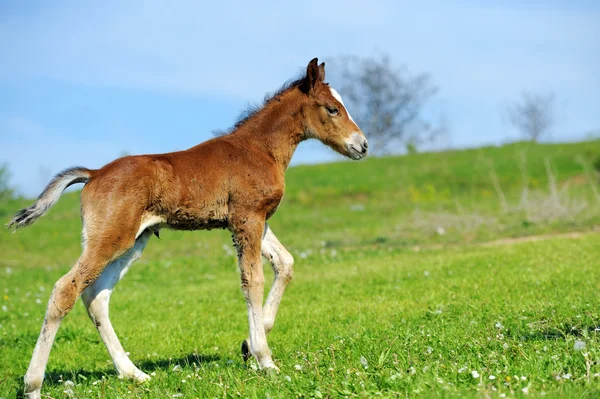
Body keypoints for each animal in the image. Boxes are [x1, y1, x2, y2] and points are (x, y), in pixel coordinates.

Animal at [9, 57, 368, 398]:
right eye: (332, 108)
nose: (362, 145)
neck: (259, 149)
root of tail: (94, 174)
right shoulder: (247, 219)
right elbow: (252, 281)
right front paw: (265, 359)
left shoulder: (254, 220)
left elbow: (285, 263)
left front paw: (248, 346)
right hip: (110, 238)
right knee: (64, 290)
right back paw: (33, 386)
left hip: (132, 241)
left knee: (96, 297)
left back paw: (133, 373)